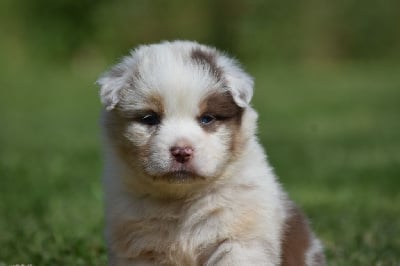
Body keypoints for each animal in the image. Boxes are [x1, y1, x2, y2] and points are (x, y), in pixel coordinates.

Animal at [97, 40, 324, 264]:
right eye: (150, 119)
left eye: (207, 119)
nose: (182, 151)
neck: (181, 201)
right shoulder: (139, 248)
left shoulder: (238, 241)